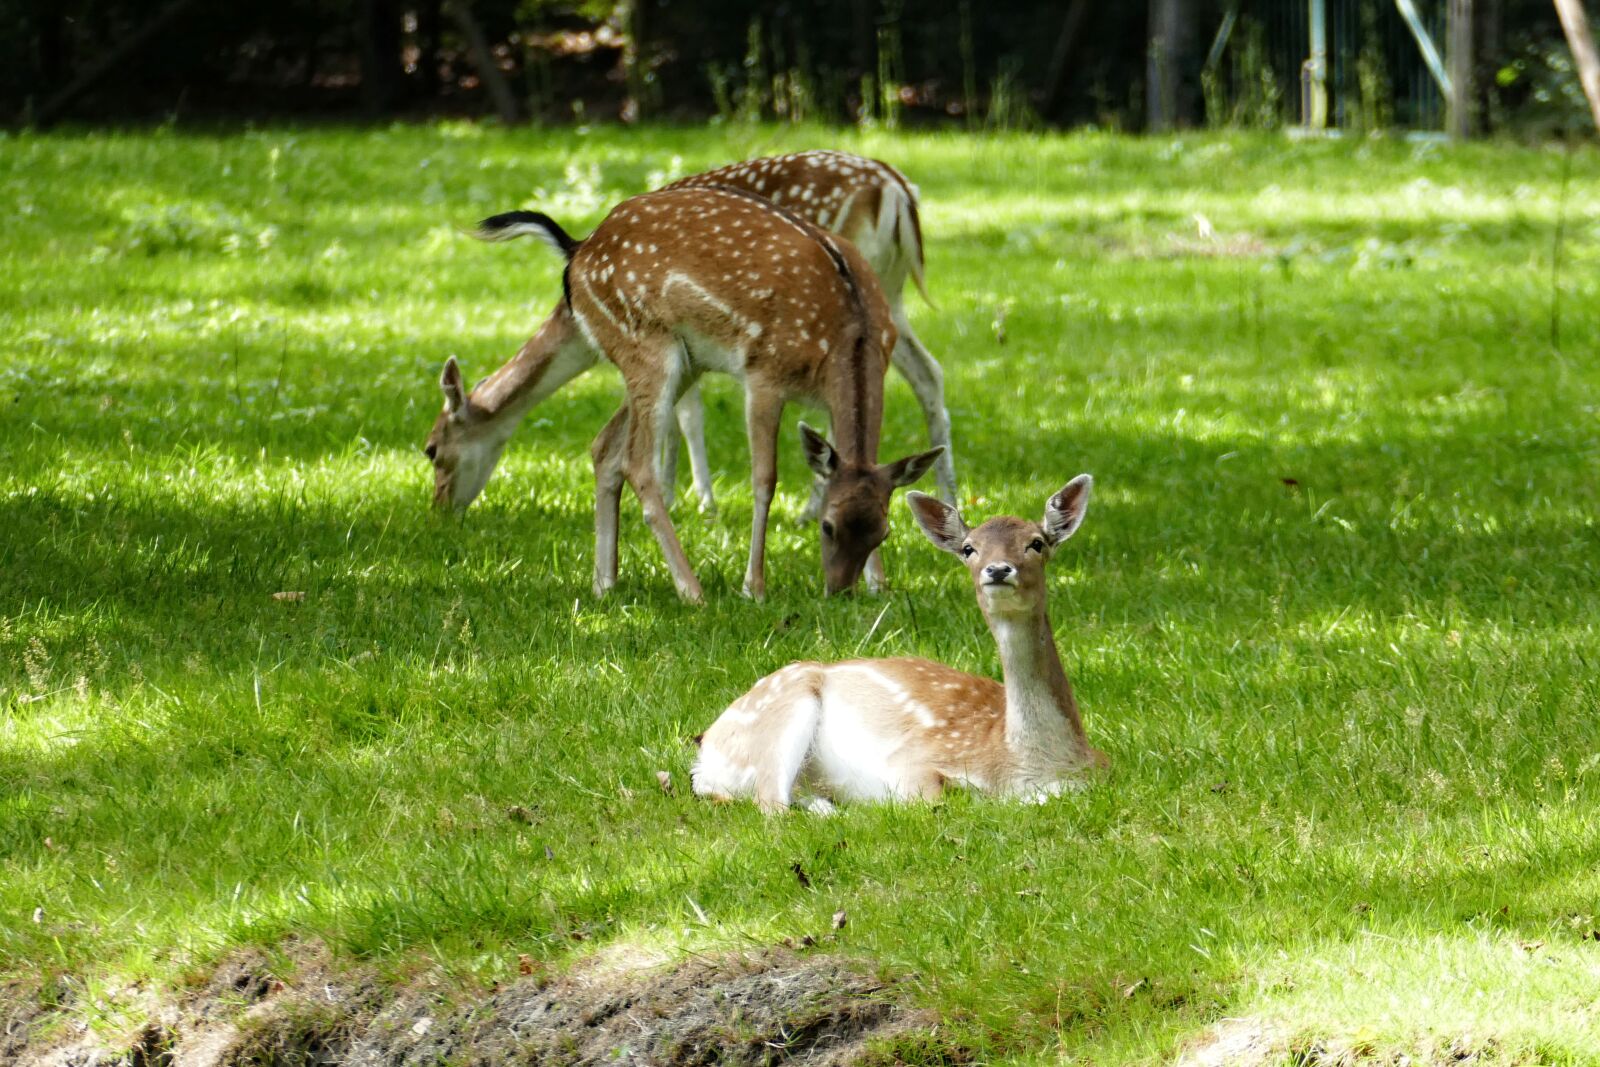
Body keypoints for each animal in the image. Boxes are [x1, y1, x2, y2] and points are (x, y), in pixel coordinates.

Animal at [430, 184, 943, 602]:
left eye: (883, 532)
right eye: (827, 526)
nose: (839, 590)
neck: (846, 336)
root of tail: (578, 250)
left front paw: (879, 584)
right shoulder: (764, 373)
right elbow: (765, 478)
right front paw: (753, 588)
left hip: (681, 361)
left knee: (605, 446)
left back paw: (605, 583)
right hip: (647, 345)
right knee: (637, 462)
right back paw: (691, 590)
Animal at [690, 475, 1106, 812]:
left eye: (1036, 543)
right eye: (969, 548)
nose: (999, 569)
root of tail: (703, 757)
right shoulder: (915, 761)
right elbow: (937, 801)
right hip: (781, 710)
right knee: (771, 804)